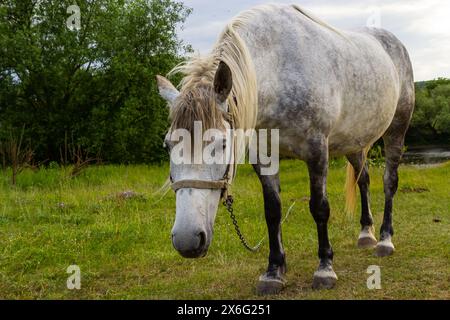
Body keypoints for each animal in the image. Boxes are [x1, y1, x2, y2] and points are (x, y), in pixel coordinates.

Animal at [156, 3, 414, 296]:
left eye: (222, 143)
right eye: (168, 145)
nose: (187, 240)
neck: (278, 70)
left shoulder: (317, 151)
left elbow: (319, 208)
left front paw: (325, 268)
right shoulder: (264, 157)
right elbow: (273, 211)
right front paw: (274, 271)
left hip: (396, 130)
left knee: (389, 181)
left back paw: (384, 240)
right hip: (355, 141)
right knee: (364, 180)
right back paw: (365, 234)